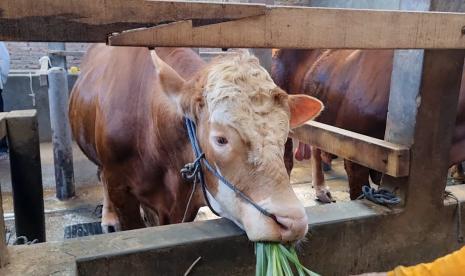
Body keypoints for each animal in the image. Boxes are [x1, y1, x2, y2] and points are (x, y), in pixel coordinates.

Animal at [69, 44, 322, 242]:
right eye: (220, 139)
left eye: (283, 135)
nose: (292, 222)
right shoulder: (119, 186)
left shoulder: (184, 202)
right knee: (100, 174)